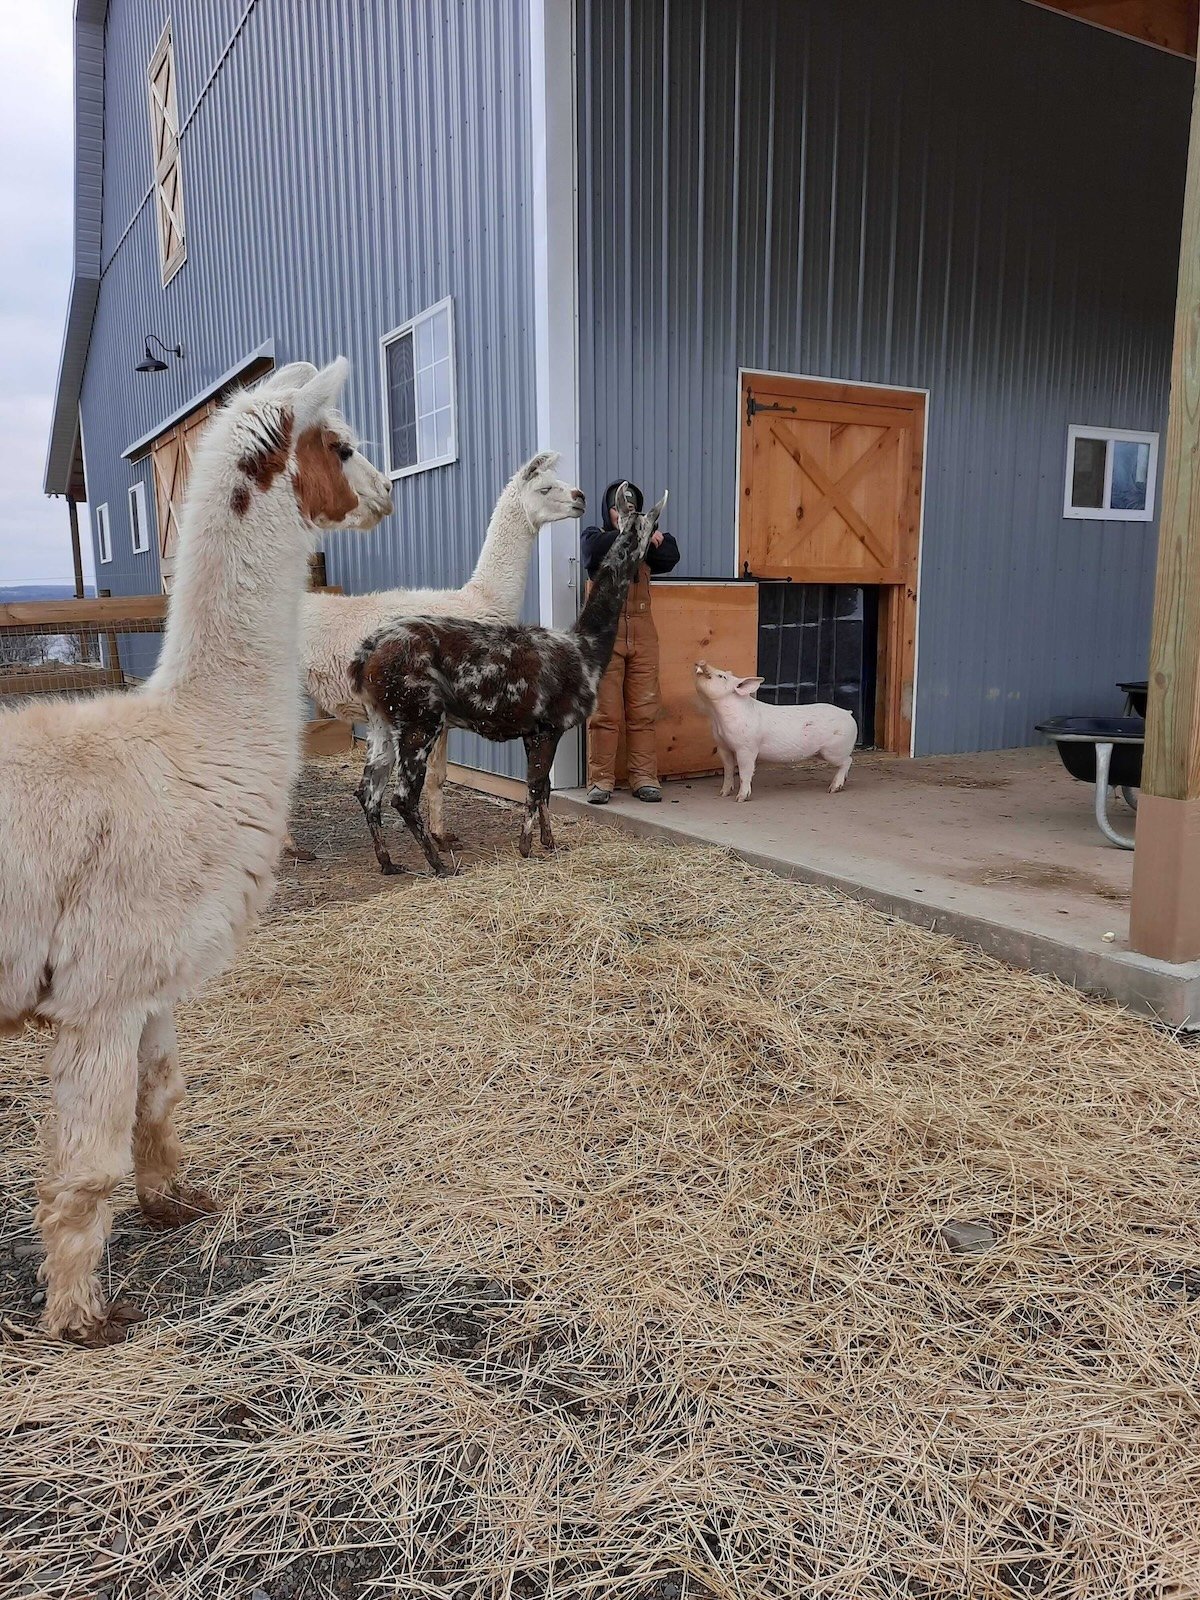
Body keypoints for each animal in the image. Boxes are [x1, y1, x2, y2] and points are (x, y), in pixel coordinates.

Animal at [693, 660, 857, 802]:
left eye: (721, 676)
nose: (701, 662)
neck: (717, 717)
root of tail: (848, 713)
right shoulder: (723, 746)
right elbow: (727, 770)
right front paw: (723, 794)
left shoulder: (746, 748)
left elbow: (745, 772)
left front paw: (740, 799)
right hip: (823, 752)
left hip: (834, 750)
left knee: (848, 760)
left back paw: (833, 789)